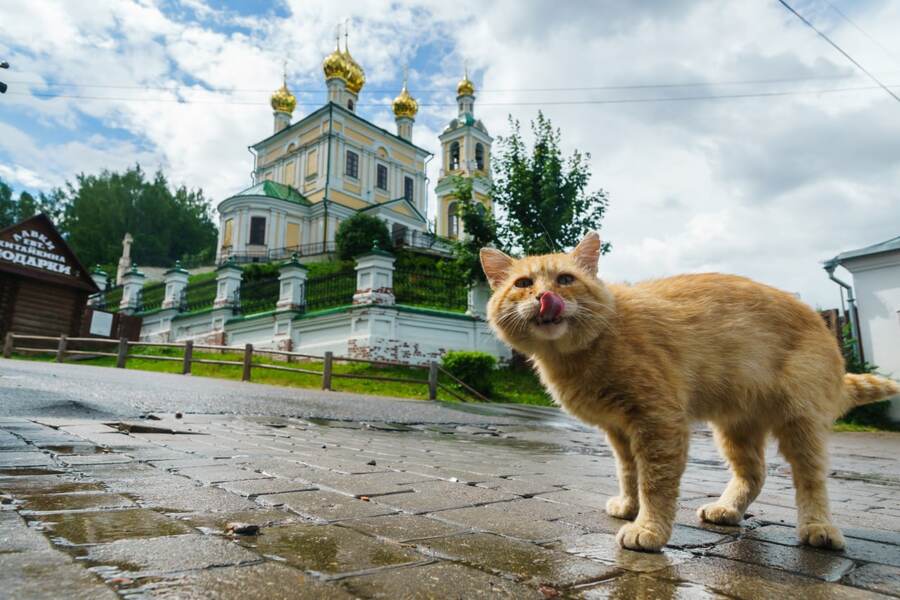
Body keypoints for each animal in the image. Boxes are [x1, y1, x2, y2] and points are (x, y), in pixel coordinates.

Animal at [482, 233, 896, 552]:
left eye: (565, 279)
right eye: (523, 284)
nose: (544, 297)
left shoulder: (658, 421)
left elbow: (655, 482)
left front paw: (648, 529)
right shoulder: (619, 431)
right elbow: (628, 473)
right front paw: (630, 506)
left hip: (800, 425)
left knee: (811, 479)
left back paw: (818, 528)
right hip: (736, 430)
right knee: (754, 473)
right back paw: (727, 510)